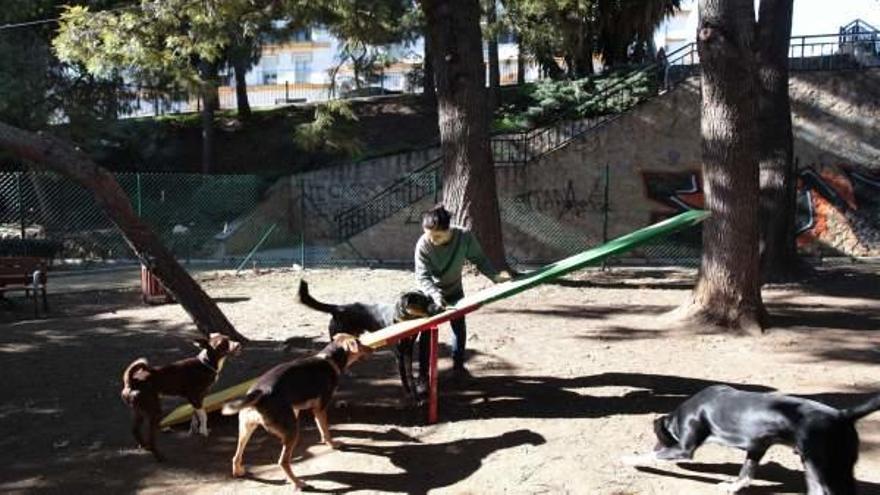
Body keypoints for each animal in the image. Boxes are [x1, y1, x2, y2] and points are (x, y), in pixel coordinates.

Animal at [223, 336, 372, 490]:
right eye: (359, 343)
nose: (372, 349)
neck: (330, 360)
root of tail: (260, 393)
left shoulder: (297, 409)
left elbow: (321, 428)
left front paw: (323, 441)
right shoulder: (320, 408)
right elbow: (325, 430)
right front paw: (331, 444)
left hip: (246, 429)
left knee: (236, 456)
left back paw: (238, 471)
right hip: (291, 430)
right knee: (283, 461)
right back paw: (298, 483)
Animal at [300, 280, 444, 404]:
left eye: (431, 299)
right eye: (423, 302)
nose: (440, 308)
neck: (404, 319)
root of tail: (338, 308)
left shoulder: (408, 351)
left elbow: (410, 376)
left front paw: (416, 397)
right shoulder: (399, 353)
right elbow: (403, 376)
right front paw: (408, 393)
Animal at [624, 388, 880, 495]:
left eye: (658, 439)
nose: (655, 444)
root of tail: (842, 414)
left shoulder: (685, 449)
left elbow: (652, 456)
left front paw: (628, 458)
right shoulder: (757, 446)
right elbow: (746, 474)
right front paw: (732, 487)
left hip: (817, 468)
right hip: (839, 469)